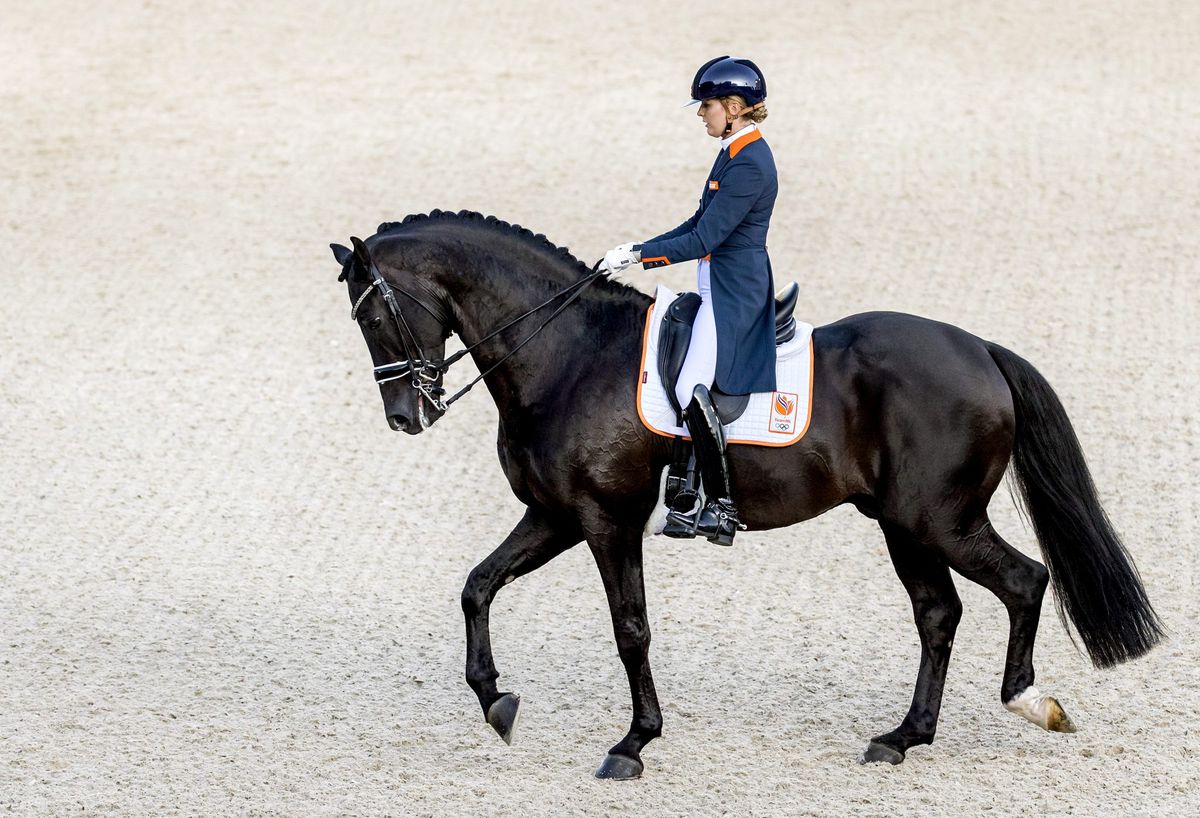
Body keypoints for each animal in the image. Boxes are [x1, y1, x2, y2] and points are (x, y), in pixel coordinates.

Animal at [328, 208, 1161, 777]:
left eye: (375, 315)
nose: (406, 416)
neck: (568, 354)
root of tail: (981, 350)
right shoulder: (556, 515)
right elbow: (477, 586)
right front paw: (495, 701)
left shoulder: (605, 519)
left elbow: (630, 629)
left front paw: (633, 743)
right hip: (903, 524)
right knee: (939, 614)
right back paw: (902, 737)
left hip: (939, 520)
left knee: (1023, 581)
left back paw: (1030, 702)